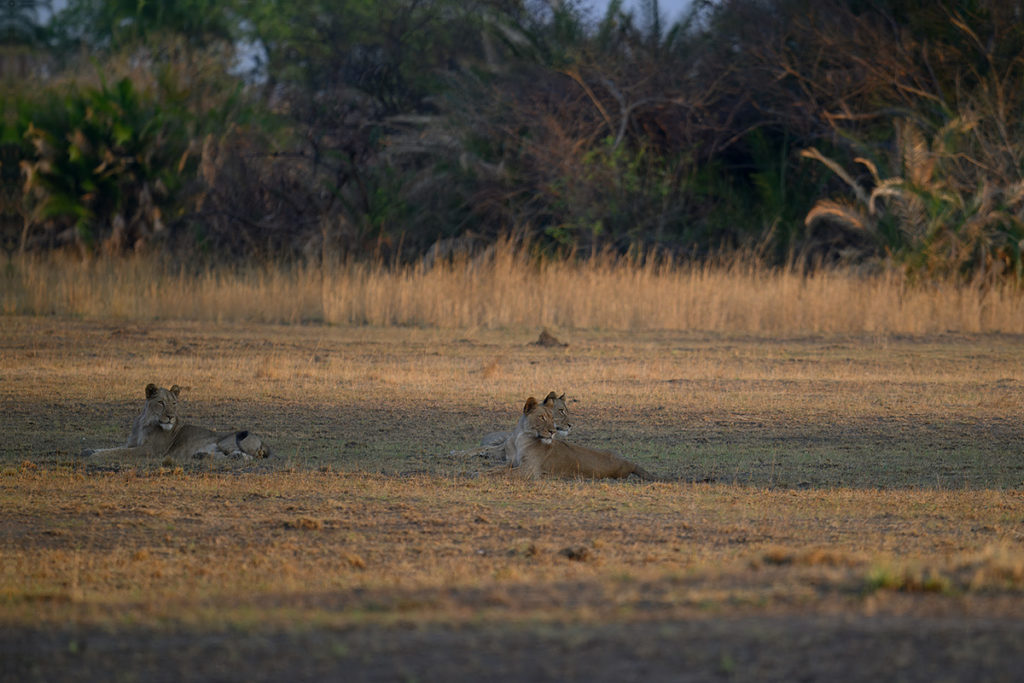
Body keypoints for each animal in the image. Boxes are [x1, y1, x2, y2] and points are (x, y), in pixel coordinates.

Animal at [80, 385, 270, 464]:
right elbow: (113, 448)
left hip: (228, 440)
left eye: (174, 403)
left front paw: (95, 456)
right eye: (161, 403)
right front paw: (89, 450)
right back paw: (200, 455)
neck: (144, 422)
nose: (171, 417)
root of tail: (263, 442)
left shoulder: (151, 451)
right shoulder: (131, 444)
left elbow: (118, 453)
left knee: (249, 456)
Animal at [507, 395, 659, 481]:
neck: (521, 438)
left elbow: (502, 472)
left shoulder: (530, 470)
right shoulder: (514, 463)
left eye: (552, 418)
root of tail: (628, 462)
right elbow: (503, 467)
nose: (553, 432)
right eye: (542, 417)